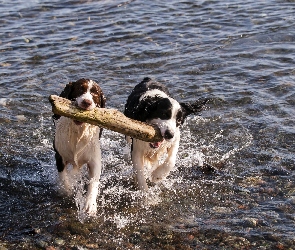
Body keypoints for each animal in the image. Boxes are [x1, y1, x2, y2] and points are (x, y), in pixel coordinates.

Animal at [53, 79, 106, 216]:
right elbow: (63, 177)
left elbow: (93, 183)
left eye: (95, 94)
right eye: (80, 89)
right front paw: (67, 189)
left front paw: (90, 205)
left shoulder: (94, 160)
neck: (78, 131)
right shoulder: (59, 156)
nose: (87, 102)